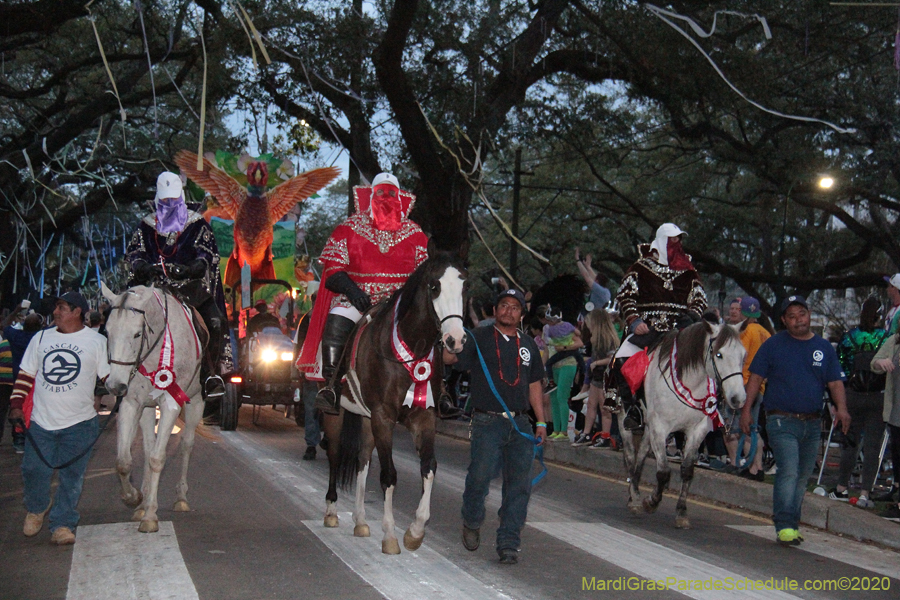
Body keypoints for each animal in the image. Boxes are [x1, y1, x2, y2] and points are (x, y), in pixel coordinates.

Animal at [101, 284, 205, 532]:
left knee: (186, 444)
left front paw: (150, 516)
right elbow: (123, 461)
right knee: (148, 447)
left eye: (137, 334)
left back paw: (181, 498)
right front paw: (135, 498)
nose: (114, 386)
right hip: (148, 408)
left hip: (196, 402)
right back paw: (143, 501)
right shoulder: (132, 403)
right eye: (107, 332)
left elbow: (158, 458)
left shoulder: (171, 404)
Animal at [322, 252, 464, 552]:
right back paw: (331, 511)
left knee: (363, 458)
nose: (455, 340)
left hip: (366, 418)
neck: (410, 351)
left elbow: (429, 468)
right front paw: (389, 535)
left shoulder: (423, 416)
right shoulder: (383, 416)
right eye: (434, 286)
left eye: (464, 286)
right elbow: (388, 475)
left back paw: (361, 520)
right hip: (335, 412)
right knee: (335, 453)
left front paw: (415, 531)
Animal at [620, 322, 744, 528]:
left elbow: (687, 471)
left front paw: (681, 512)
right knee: (630, 456)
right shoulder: (660, 428)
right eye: (719, 354)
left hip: (649, 427)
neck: (690, 383)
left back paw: (634, 490)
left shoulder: (697, 430)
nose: (738, 399)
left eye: (743, 355)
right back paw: (634, 498)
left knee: (641, 454)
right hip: (624, 420)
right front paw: (651, 502)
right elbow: (663, 471)